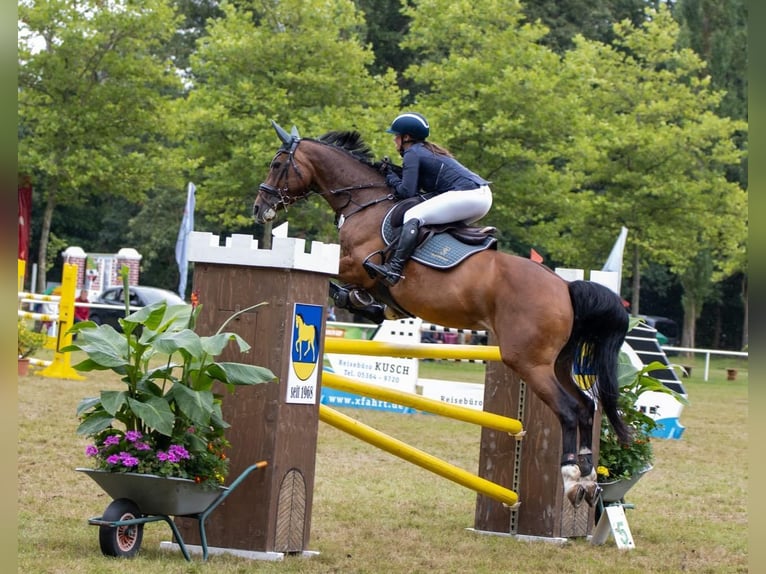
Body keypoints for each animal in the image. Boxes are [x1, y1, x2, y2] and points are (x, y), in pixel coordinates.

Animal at [253, 121, 631, 507]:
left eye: (276, 164)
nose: (259, 208)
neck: (365, 203)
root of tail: (565, 288)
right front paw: (369, 304)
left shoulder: (356, 265)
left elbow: (341, 283)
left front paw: (358, 299)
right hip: (558, 362)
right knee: (585, 406)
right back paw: (587, 479)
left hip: (529, 361)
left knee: (568, 410)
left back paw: (571, 479)